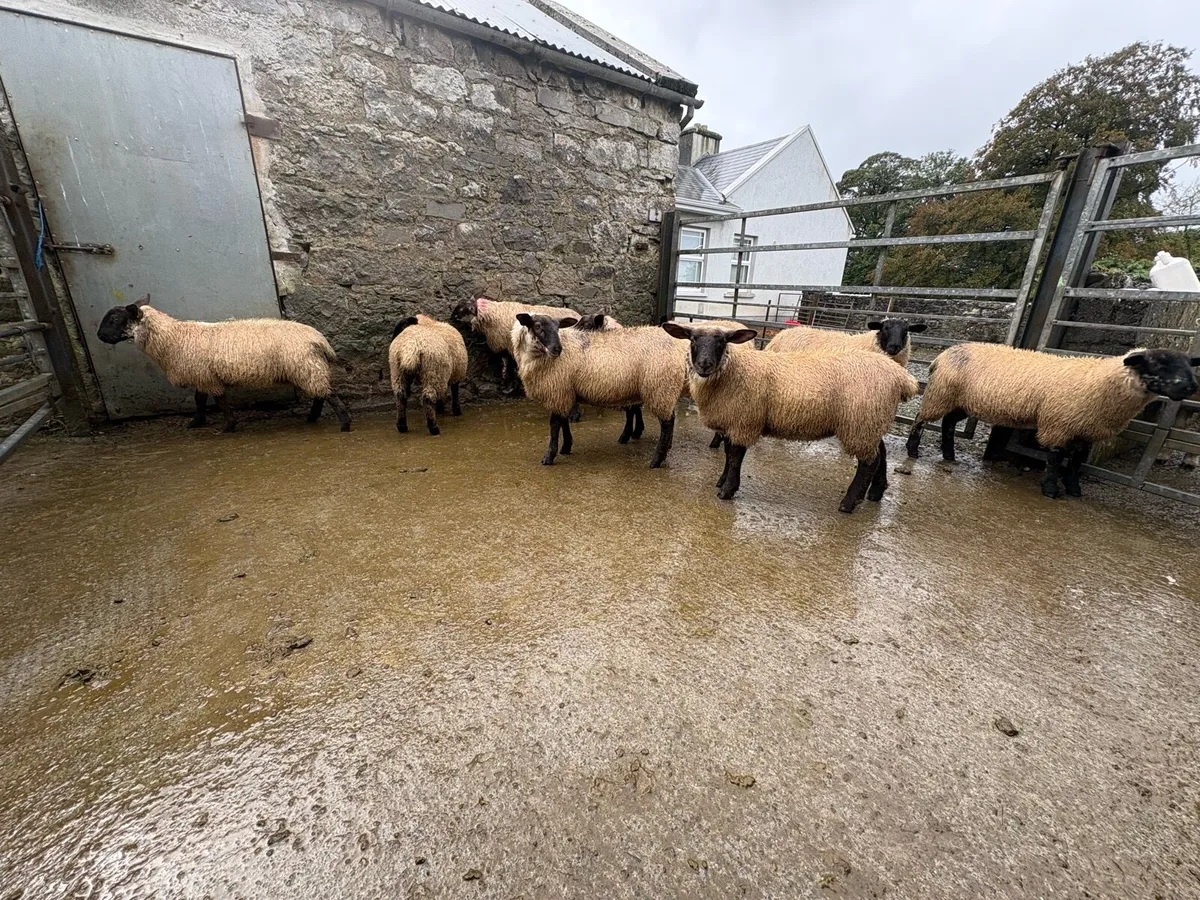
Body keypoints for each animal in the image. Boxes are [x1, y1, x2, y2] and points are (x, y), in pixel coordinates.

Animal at [96, 298, 351, 432]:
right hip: (307, 367)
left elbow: (219, 400)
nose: (99, 336)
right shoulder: (202, 375)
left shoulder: (205, 376)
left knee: (327, 394)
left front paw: (228, 425)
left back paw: (345, 424)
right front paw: (197, 422)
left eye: (114, 319)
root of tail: (318, 338)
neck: (174, 338)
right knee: (320, 394)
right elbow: (200, 400)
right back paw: (313, 418)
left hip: (305, 367)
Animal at [450, 296, 580, 396]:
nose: (451, 318)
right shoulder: (509, 346)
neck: (491, 313)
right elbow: (511, 365)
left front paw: (508, 388)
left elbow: (508, 365)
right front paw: (512, 387)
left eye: (461, 309)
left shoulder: (504, 345)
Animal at [512, 313, 688, 468]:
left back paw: (657, 460)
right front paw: (566, 447)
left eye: (557, 327)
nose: (557, 349)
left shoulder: (557, 391)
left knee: (667, 423)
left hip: (660, 388)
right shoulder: (564, 392)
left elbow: (554, 426)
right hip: (661, 389)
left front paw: (549, 456)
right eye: (537, 326)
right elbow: (563, 421)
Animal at [663, 321, 920, 513]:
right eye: (692, 339)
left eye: (722, 341)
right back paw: (876, 492)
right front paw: (722, 480)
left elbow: (735, 456)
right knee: (881, 451)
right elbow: (728, 453)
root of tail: (901, 376)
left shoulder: (744, 420)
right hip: (870, 421)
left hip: (861, 422)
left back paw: (849, 503)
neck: (733, 371)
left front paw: (727, 490)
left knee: (868, 462)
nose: (704, 364)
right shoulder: (732, 421)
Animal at [899, 343, 1200, 498]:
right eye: (1158, 362)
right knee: (921, 418)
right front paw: (1052, 488)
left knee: (949, 422)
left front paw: (1075, 488)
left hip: (961, 400)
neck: (1100, 383)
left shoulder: (1086, 429)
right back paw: (913, 449)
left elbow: (1077, 460)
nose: (1191, 386)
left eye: (1188, 363)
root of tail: (943, 354)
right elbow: (1056, 456)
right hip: (941, 394)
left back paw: (949, 454)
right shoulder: (1058, 423)